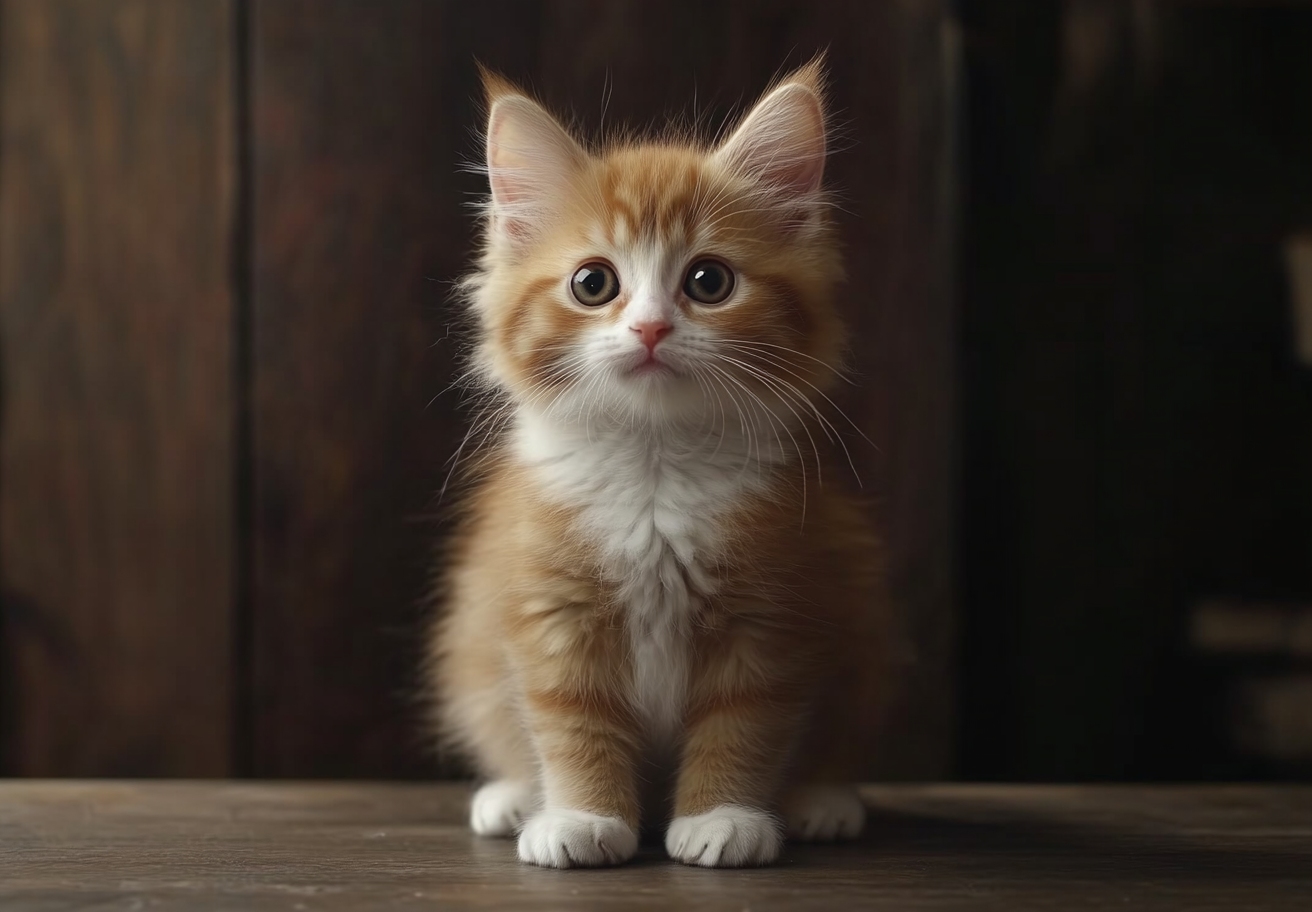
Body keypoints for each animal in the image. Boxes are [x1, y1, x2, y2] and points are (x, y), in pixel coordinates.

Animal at [430, 58, 892, 871]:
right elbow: (572, 720)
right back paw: (513, 795)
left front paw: (722, 819)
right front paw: (582, 818)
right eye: (593, 283)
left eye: (709, 281)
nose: (649, 328)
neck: (654, 468)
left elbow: (742, 724)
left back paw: (822, 801)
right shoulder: (551, 609)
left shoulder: (769, 614)